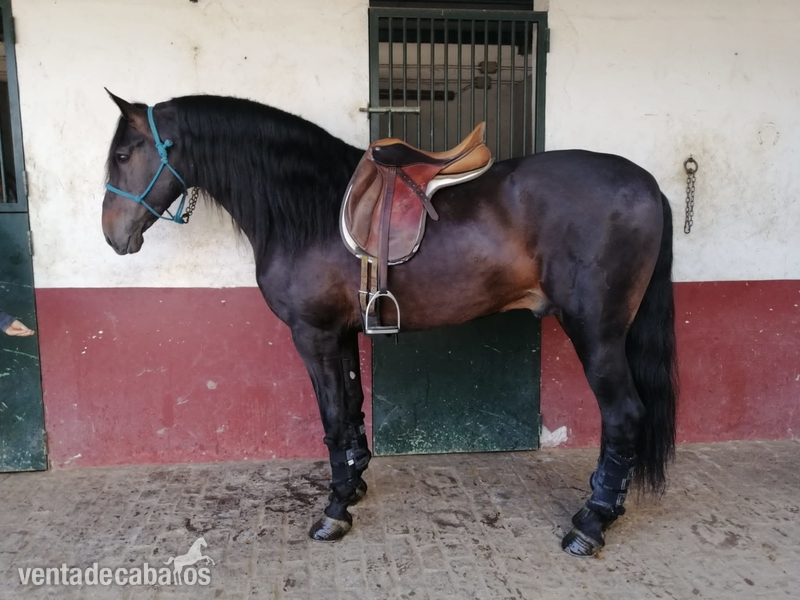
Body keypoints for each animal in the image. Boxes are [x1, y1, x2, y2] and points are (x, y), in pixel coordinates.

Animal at [101, 92, 677, 557]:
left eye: (124, 155)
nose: (111, 235)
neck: (307, 209)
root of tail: (649, 184)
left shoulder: (313, 335)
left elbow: (334, 419)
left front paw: (334, 512)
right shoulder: (341, 334)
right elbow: (353, 409)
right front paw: (354, 483)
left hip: (597, 333)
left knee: (623, 416)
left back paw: (590, 525)